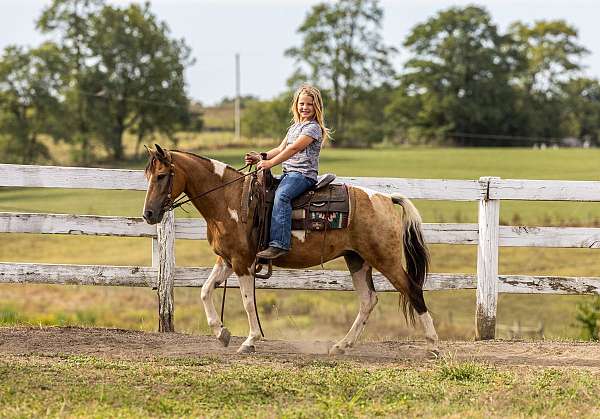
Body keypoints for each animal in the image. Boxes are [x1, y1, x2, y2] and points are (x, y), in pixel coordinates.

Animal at [143, 146, 438, 356]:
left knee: (413, 290)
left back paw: (433, 346)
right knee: (368, 301)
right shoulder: (227, 259)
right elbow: (205, 291)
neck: (229, 199)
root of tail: (386, 199)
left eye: (161, 176)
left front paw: (250, 341)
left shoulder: (242, 262)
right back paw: (341, 346)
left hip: (384, 258)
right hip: (357, 259)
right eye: (148, 176)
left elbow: (248, 302)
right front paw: (221, 333)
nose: (148, 214)